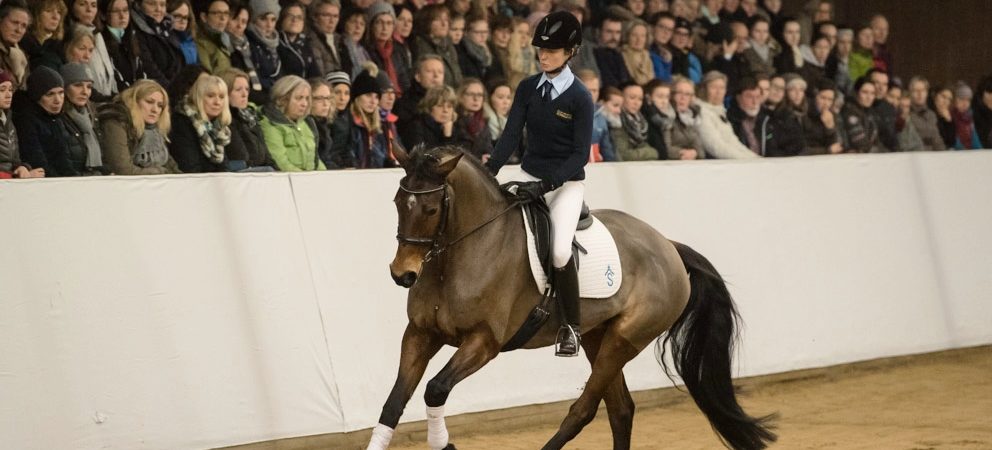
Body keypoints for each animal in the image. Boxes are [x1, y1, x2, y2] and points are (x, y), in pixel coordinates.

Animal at [370, 146, 776, 448]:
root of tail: (668, 247)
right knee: (621, 409)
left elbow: (435, 389)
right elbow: (393, 404)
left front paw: (446, 444)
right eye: (397, 202)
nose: (402, 274)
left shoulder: (483, 342)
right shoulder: (421, 333)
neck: (456, 257)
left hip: (625, 339)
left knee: (584, 411)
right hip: (599, 337)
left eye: (431, 209)